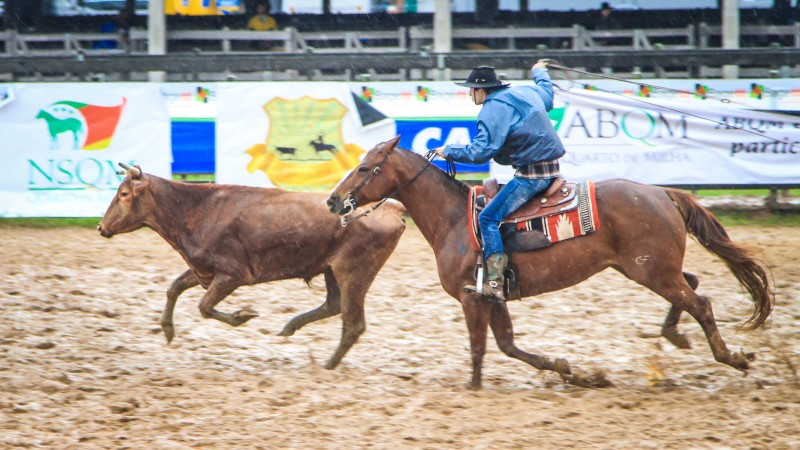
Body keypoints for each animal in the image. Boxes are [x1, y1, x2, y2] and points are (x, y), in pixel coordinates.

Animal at [98, 163, 406, 368]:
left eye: (124, 194)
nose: (101, 227)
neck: (196, 209)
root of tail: (392, 208)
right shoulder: (204, 271)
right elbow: (174, 288)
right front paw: (168, 329)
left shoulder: (233, 274)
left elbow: (204, 306)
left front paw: (242, 315)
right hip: (330, 269)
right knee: (333, 305)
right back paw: (291, 328)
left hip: (354, 271)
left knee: (353, 323)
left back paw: (327, 364)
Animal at [328, 137, 772, 390]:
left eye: (365, 168)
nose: (333, 200)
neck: (453, 218)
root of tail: (662, 192)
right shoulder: (493, 297)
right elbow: (508, 345)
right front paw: (568, 370)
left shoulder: (472, 299)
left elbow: (479, 347)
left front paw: (473, 388)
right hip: (650, 268)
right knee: (692, 285)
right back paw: (674, 335)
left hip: (652, 271)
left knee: (701, 303)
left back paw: (731, 357)